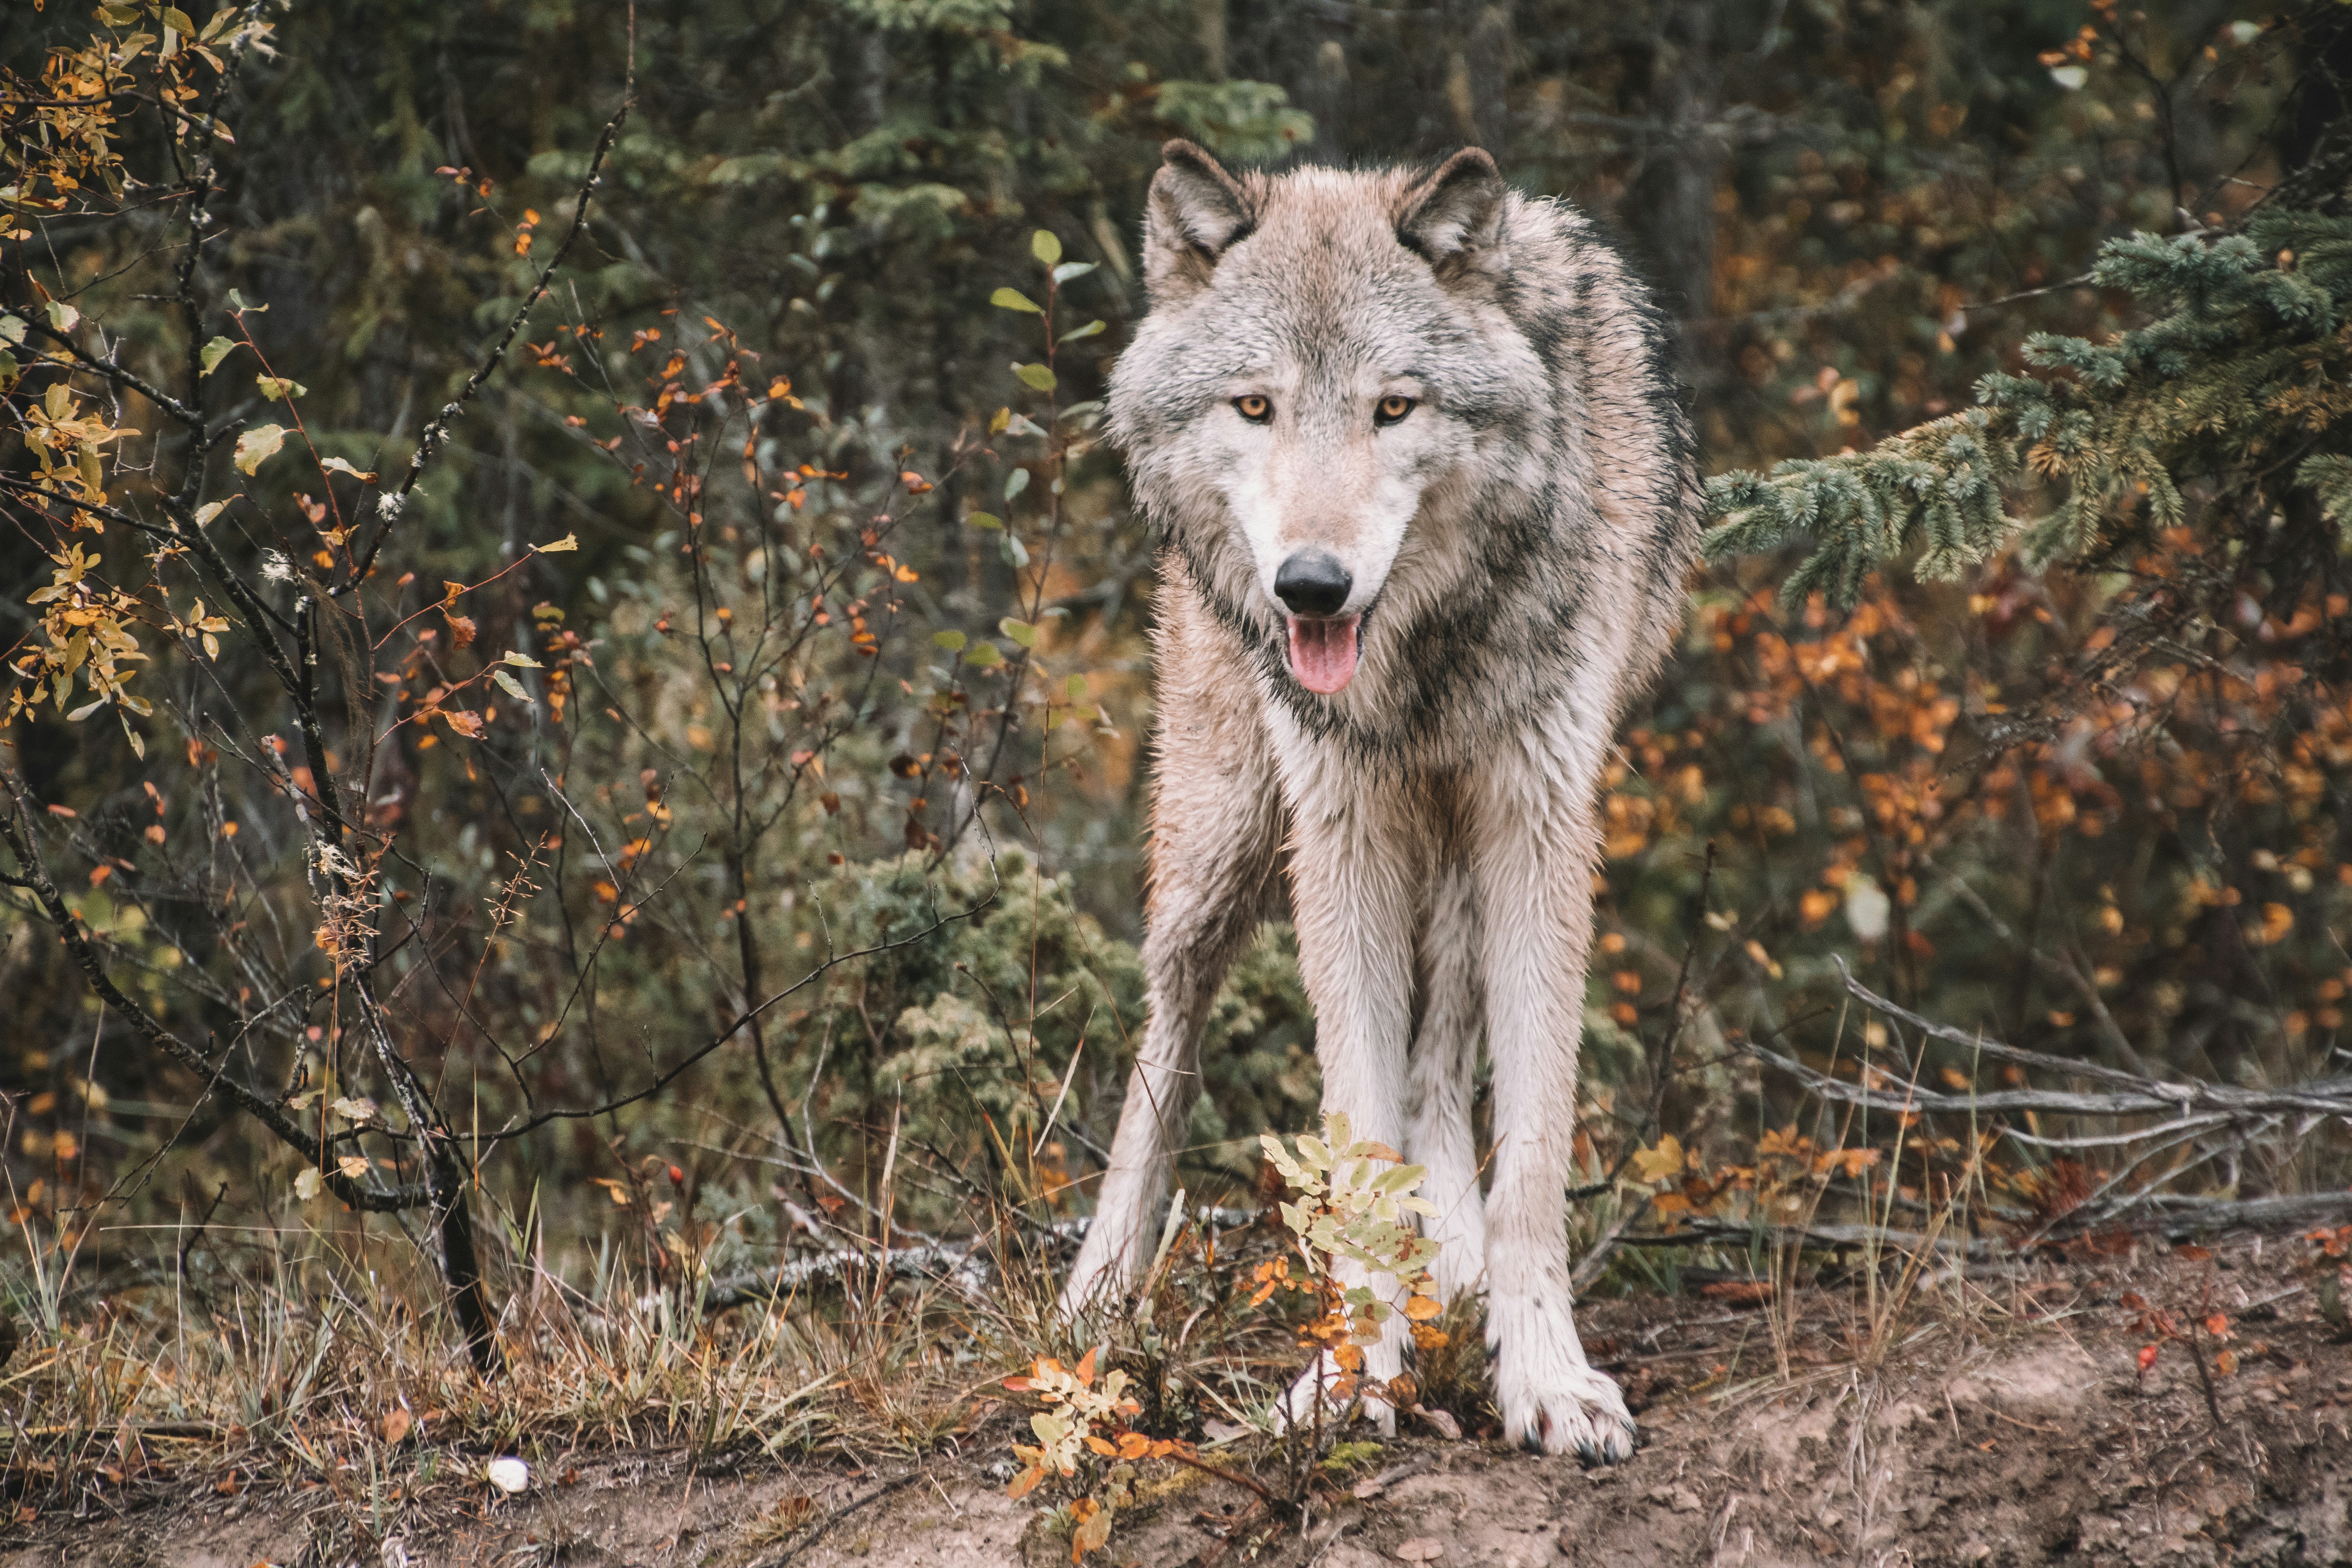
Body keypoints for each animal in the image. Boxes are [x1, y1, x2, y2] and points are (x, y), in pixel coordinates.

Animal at [1063, 141, 1693, 1467]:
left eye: (1392, 408)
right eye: (1254, 407)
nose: (1311, 585)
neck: (1424, 650)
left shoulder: (1540, 818)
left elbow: (1529, 1151)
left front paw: (1547, 1378)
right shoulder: (1339, 828)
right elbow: (1353, 1136)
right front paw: (1352, 1381)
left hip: (1449, 850)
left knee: (1443, 1050)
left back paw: (1449, 1262)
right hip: (1223, 841)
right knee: (1166, 1036)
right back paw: (1099, 1292)